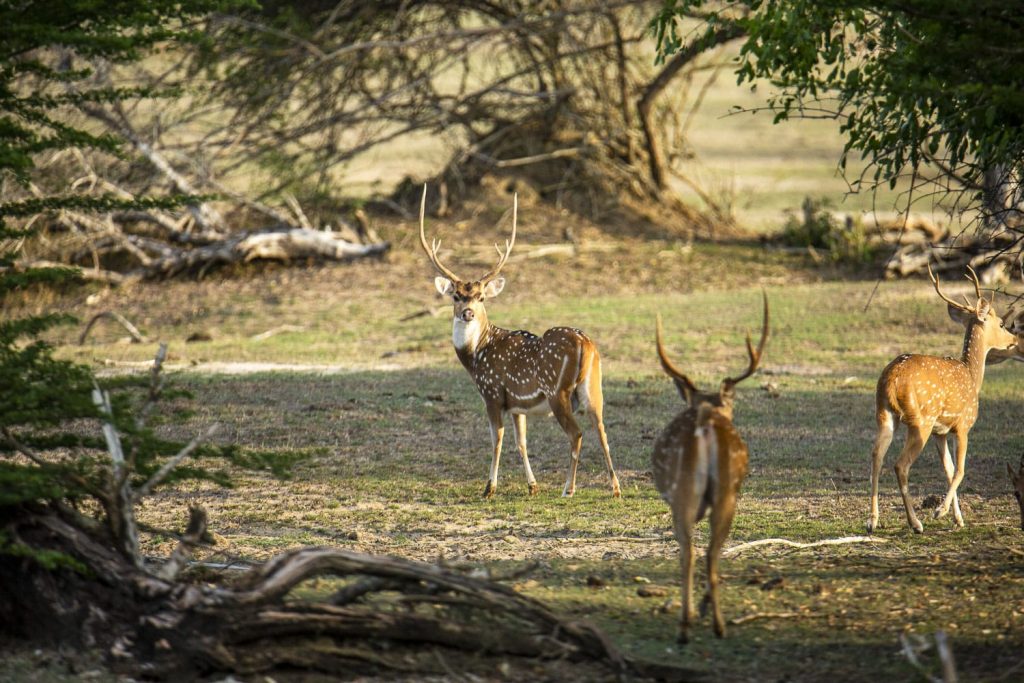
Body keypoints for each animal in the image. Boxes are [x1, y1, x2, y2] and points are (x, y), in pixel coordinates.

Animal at [417, 185, 620, 499]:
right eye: (456, 295)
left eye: (481, 297)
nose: (468, 312)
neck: (476, 356)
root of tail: (586, 346)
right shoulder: (516, 404)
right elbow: (521, 442)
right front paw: (532, 485)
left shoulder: (491, 393)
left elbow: (497, 440)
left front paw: (489, 488)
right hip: (594, 386)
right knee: (602, 428)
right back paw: (615, 488)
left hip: (557, 390)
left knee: (577, 433)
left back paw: (568, 488)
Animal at [651, 292, 768, 643]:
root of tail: (705, 424)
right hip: (722, 493)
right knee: (707, 553)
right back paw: (712, 623)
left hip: (686, 492)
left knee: (692, 552)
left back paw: (690, 624)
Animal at [867, 265, 1019, 534]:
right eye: (1001, 323)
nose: (1014, 340)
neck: (972, 375)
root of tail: (892, 379)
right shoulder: (963, 425)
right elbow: (960, 470)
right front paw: (941, 511)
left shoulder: (941, 432)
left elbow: (948, 470)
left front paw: (958, 518)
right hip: (920, 420)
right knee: (900, 464)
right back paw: (916, 523)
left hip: (884, 413)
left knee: (876, 456)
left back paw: (872, 521)